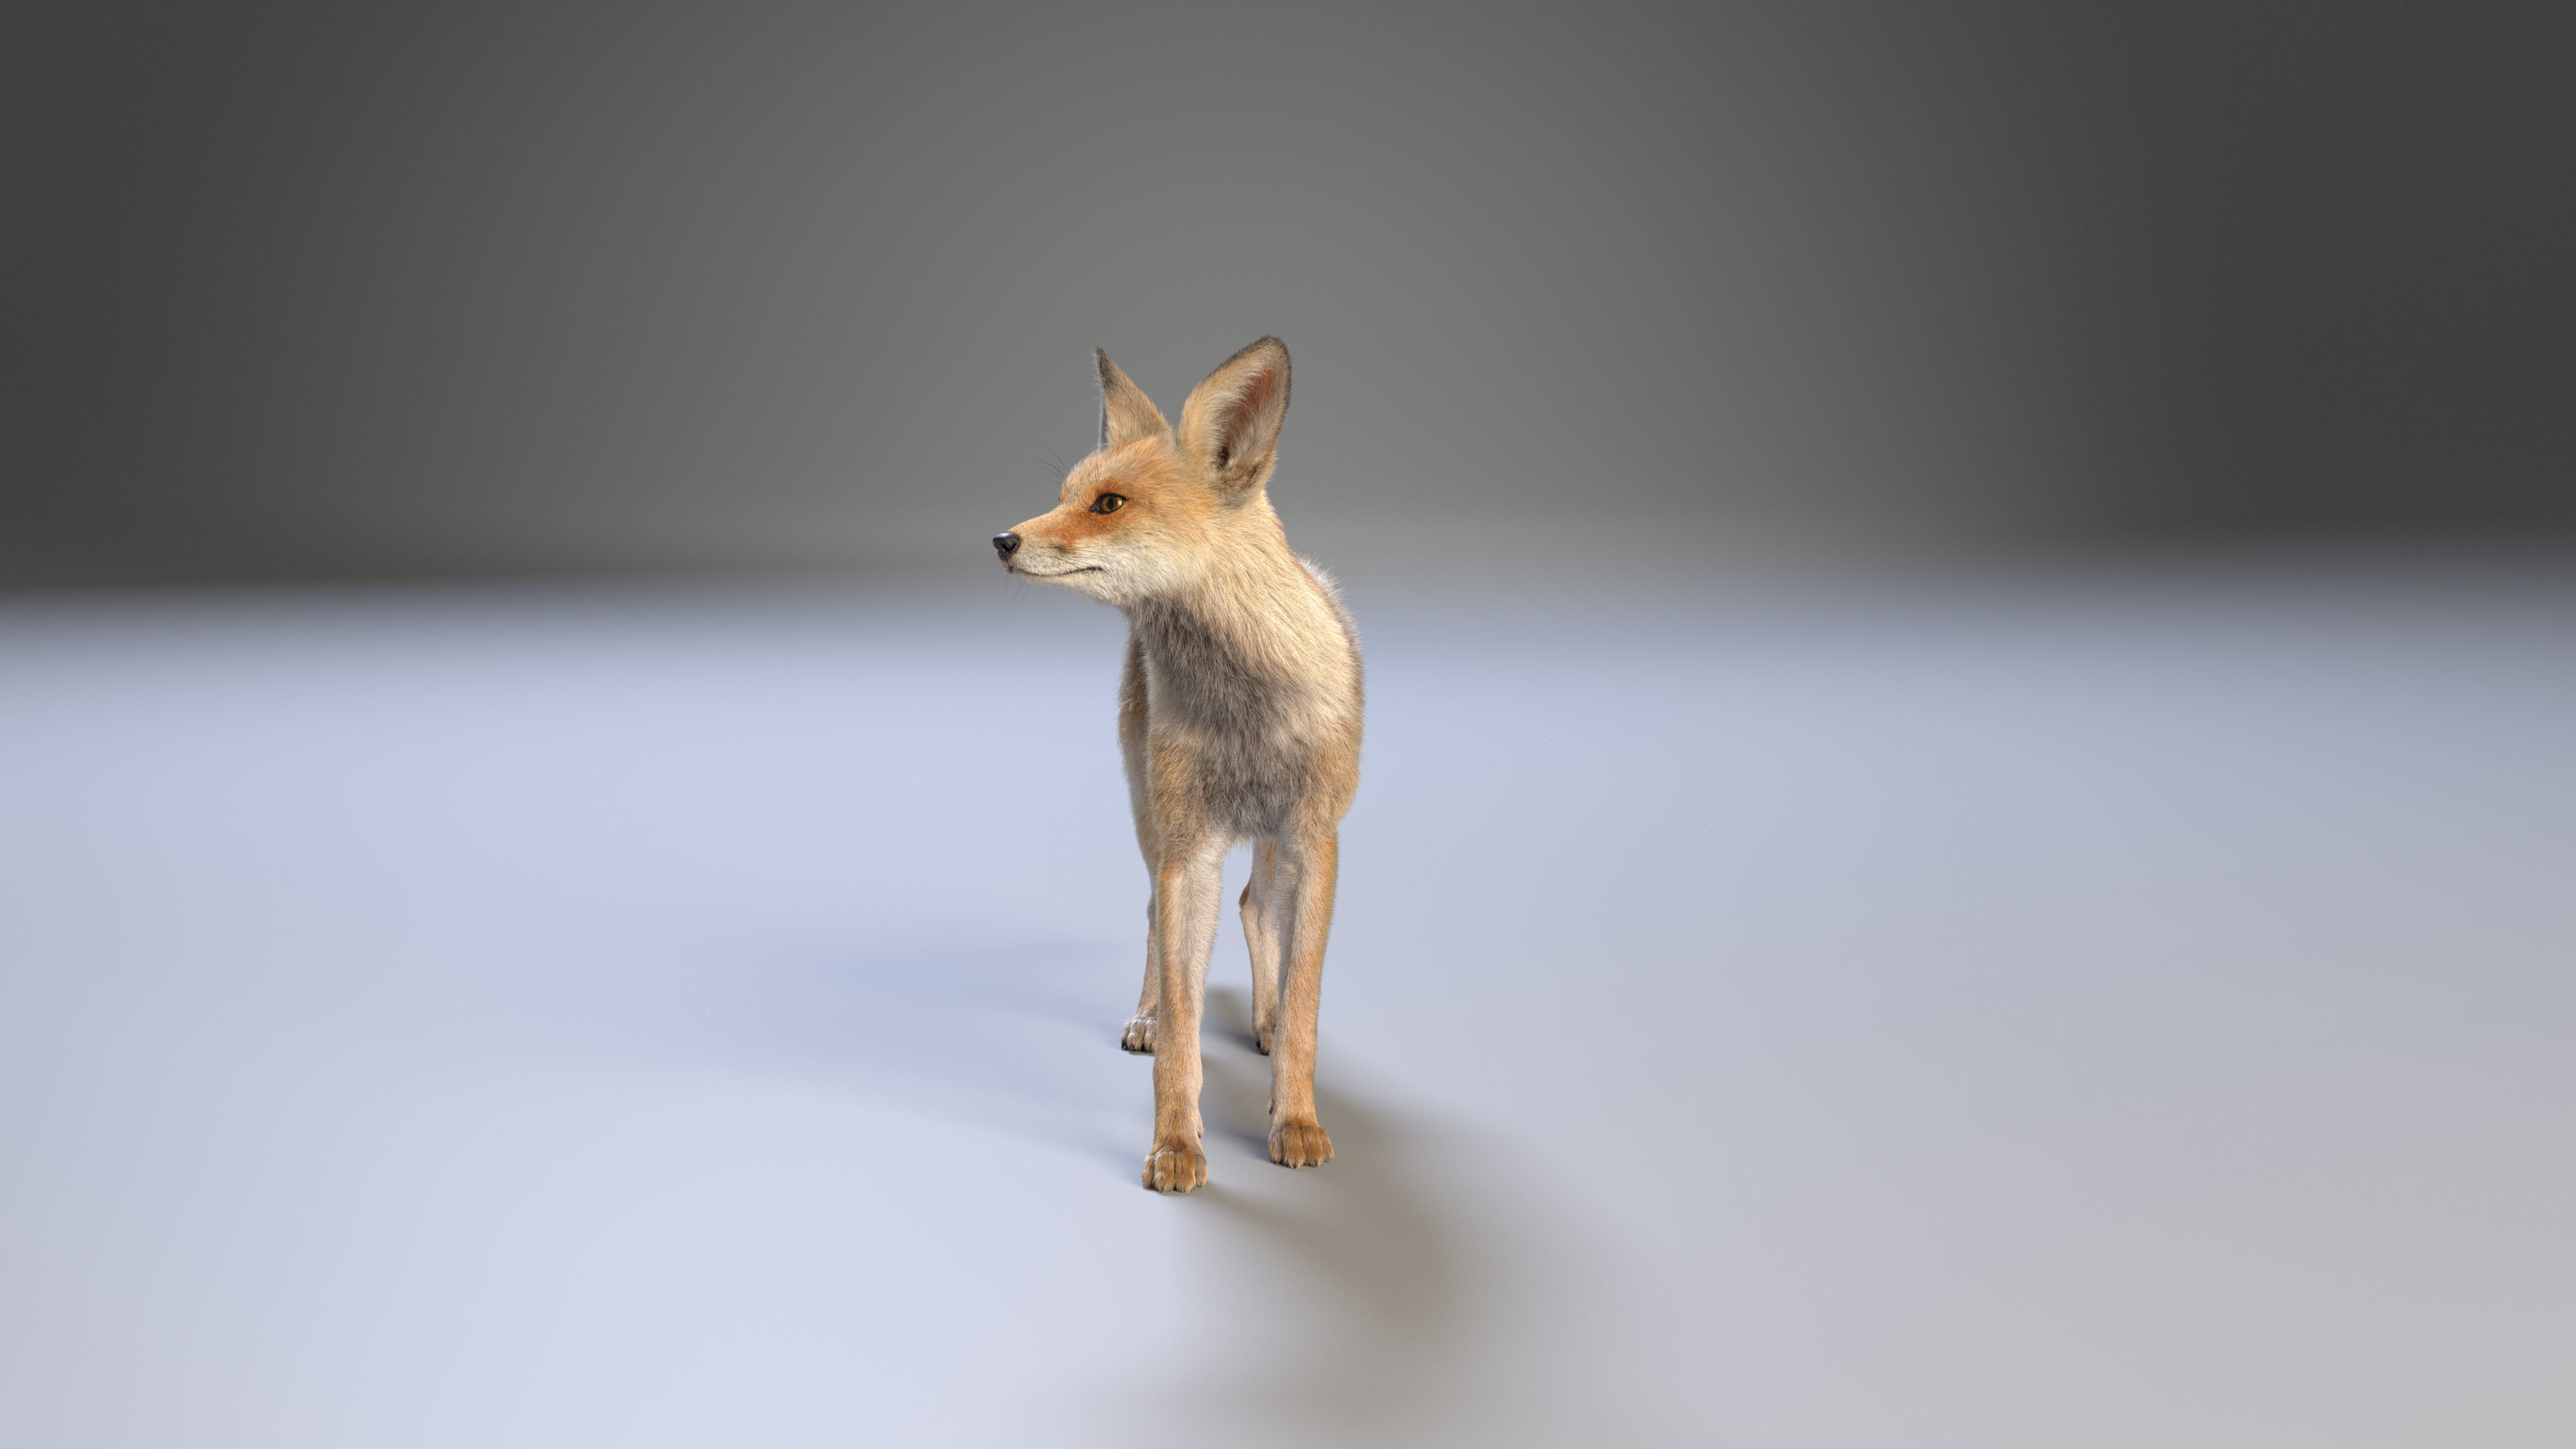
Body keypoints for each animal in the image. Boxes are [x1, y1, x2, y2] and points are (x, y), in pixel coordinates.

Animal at [993, 337, 1362, 1194]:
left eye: (1108, 505)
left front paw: (1296, 1120)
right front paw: (1175, 1144)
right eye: (1064, 496)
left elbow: (1304, 1006)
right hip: (1152, 821)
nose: (1002, 540)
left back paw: (1260, 1023)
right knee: (1158, 923)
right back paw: (1150, 1019)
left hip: (1268, 843)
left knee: (1257, 909)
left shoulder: (1316, 837)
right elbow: (1186, 1029)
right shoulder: (1190, 851)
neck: (1245, 710)